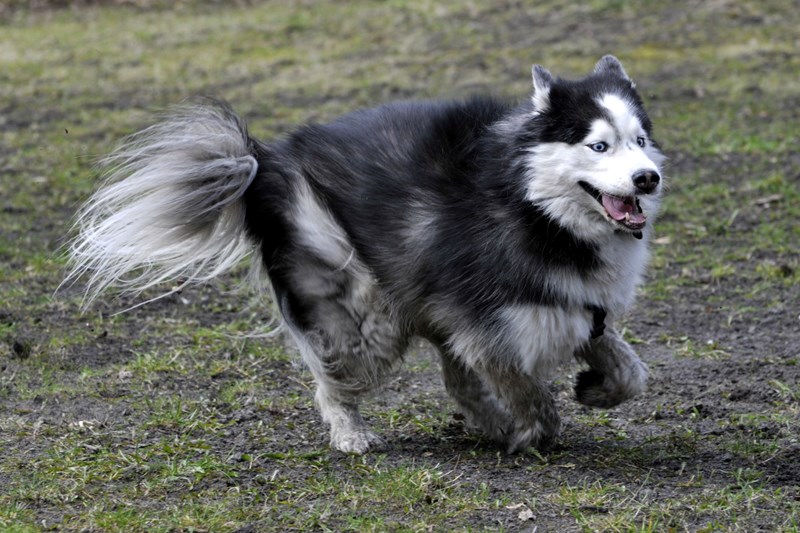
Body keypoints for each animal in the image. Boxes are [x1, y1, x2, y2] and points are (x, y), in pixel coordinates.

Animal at [69, 54, 664, 454]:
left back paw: (484, 422)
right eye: (598, 145)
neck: (534, 205)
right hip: (368, 315)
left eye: (639, 140)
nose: (647, 178)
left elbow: (631, 370)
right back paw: (352, 434)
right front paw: (530, 432)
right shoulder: (490, 327)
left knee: (453, 378)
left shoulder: (575, 307)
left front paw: (595, 389)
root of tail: (263, 160)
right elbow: (534, 398)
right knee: (331, 380)